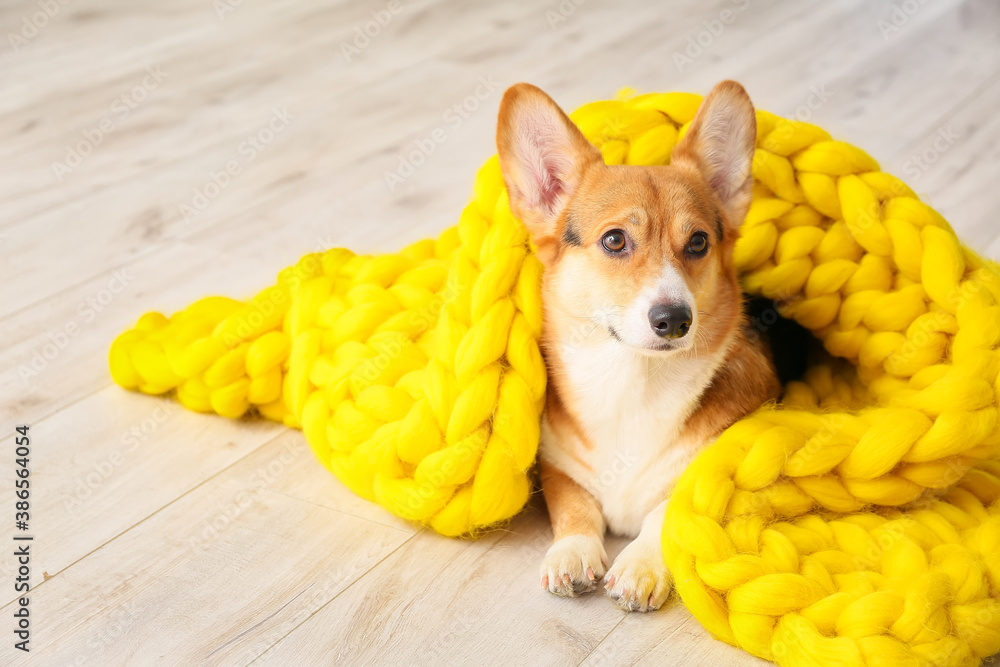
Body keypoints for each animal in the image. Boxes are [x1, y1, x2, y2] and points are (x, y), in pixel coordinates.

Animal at [496, 81, 784, 612]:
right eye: (614, 240)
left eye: (698, 242)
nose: (674, 320)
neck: (632, 378)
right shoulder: (557, 467)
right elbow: (574, 507)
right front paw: (572, 553)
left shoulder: (704, 468)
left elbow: (665, 513)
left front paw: (640, 566)